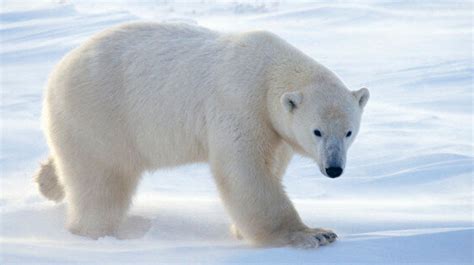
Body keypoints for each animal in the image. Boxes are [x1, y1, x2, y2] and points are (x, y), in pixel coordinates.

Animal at [36, 22, 370, 248]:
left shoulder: (273, 126)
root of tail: (58, 71)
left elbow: (271, 164)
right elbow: (244, 171)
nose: (334, 168)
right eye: (317, 131)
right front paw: (313, 234)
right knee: (102, 182)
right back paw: (94, 233)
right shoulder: (239, 104)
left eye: (349, 132)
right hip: (100, 115)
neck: (269, 72)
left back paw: (46, 180)